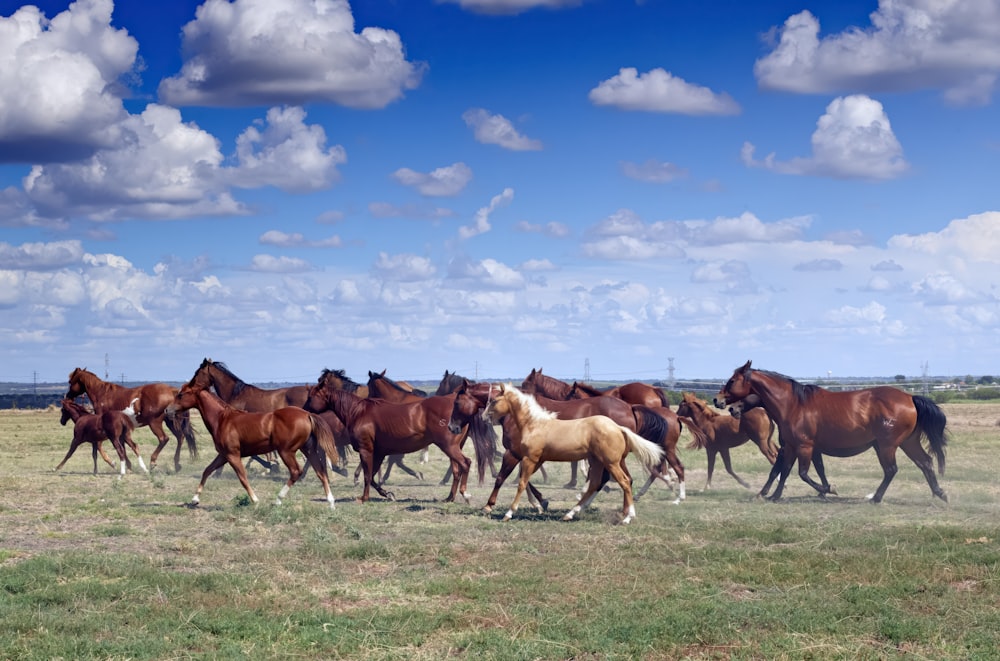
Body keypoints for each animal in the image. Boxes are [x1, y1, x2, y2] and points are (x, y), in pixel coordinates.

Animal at [65, 368, 197, 472]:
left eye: (70, 382)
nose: (68, 396)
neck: (103, 395)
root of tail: (172, 390)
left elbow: (101, 446)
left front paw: (114, 463)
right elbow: (122, 446)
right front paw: (128, 466)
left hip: (155, 423)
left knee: (163, 438)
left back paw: (153, 462)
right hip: (170, 422)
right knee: (180, 437)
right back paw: (176, 464)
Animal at [168, 378, 340, 508]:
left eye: (181, 394)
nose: (167, 410)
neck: (222, 419)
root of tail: (307, 414)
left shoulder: (232, 455)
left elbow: (242, 477)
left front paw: (255, 500)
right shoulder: (223, 455)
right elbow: (207, 471)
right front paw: (195, 499)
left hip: (287, 451)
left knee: (297, 472)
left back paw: (278, 500)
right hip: (308, 449)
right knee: (320, 472)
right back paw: (331, 503)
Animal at [482, 384, 664, 524]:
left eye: (494, 401)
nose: (484, 417)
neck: (535, 424)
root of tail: (618, 428)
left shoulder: (529, 458)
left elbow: (520, 482)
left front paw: (507, 513)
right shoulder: (536, 459)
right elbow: (525, 481)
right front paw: (540, 504)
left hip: (611, 462)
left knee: (625, 482)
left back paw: (627, 517)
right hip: (598, 461)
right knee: (596, 484)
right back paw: (570, 513)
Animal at [716, 358, 948, 502]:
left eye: (732, 381)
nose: (719, 401)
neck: (794, 405)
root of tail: (910, 397)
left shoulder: (805, 446)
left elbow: (802, 474)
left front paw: (828, 489)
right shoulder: (791, 447)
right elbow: (783, 471)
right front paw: (773, 496)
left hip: (887, 446)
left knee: (891, 470)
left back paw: (876, 498)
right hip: (907, 442)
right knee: (925, 462)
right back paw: (940, 494)